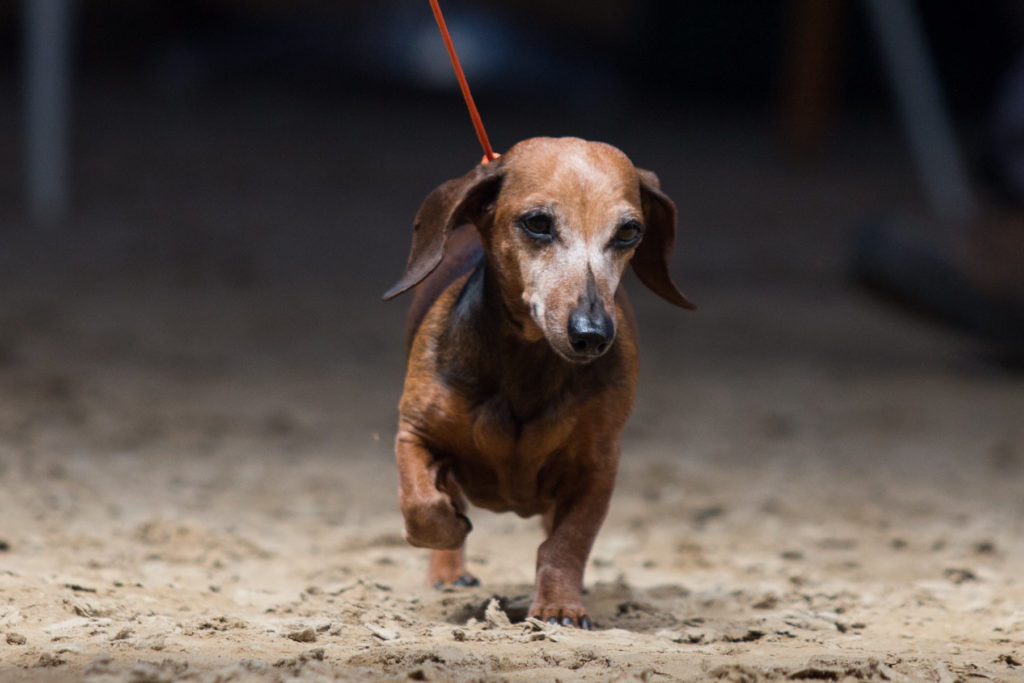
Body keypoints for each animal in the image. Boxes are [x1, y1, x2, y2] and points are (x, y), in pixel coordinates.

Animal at [385, 136, 696, 626]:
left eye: (629, 231)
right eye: (537, 223)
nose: (592, 335)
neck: (527, 364)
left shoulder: (599, 466)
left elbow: (567, 542)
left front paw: (559, 606)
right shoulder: (415, 434)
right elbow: (422, 507)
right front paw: (450, 528)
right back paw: (449, 572)